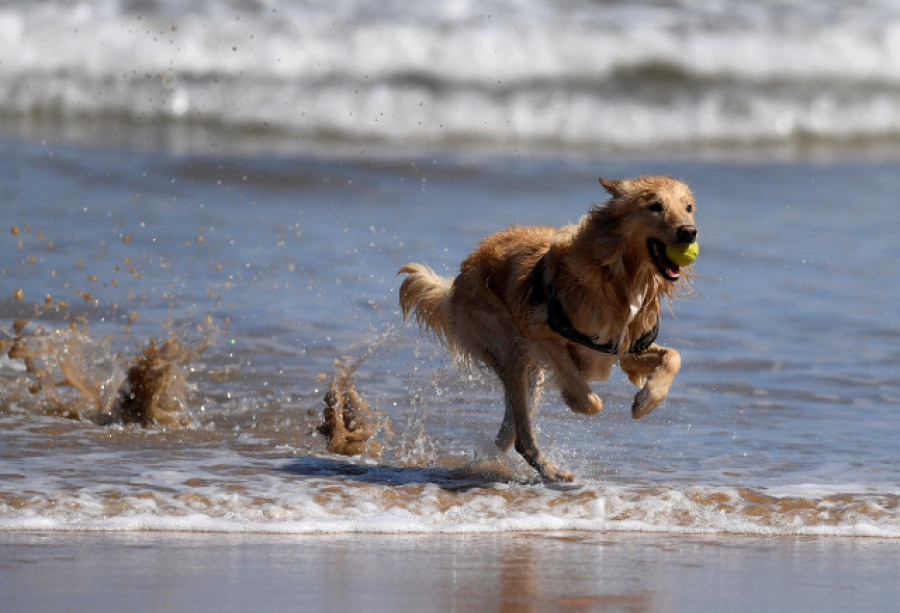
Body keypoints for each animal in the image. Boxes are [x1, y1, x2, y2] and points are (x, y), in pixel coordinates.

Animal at [398, 175, 700, 480]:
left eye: (687, 207)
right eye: (655, 206)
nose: (689, 232)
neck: (620, 278)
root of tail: (458, 279)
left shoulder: (625, 349)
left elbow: (674, 356)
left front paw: (646, 401)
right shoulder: (541, 334)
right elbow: (590, 399)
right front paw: (574, 400)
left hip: (529, 373)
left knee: (509, 431)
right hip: (512, 349)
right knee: (521, 434)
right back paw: (550, 471)